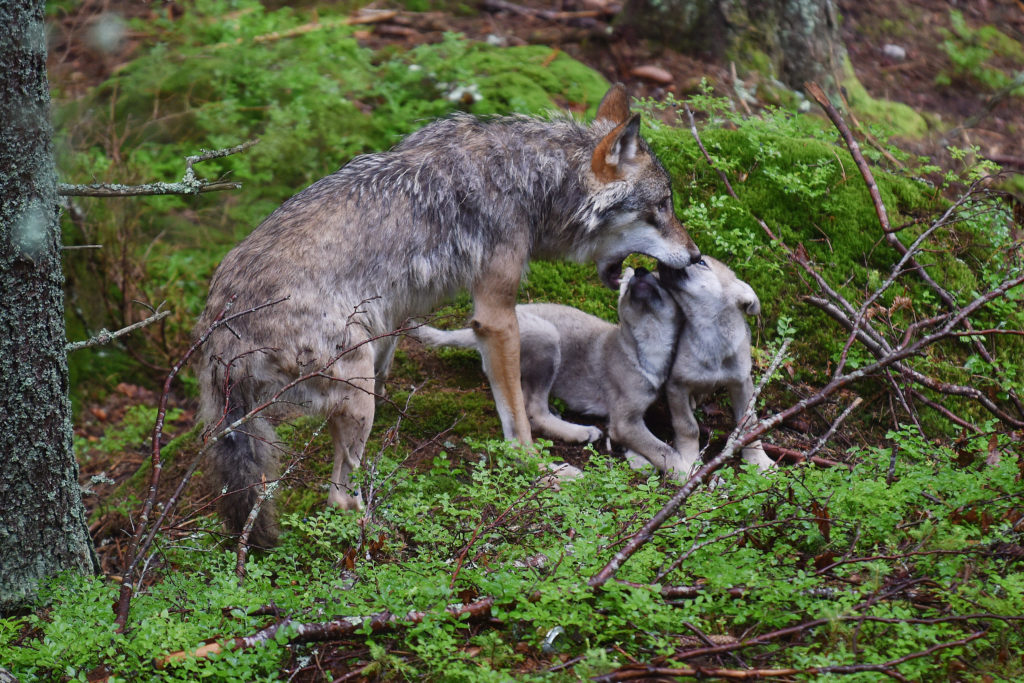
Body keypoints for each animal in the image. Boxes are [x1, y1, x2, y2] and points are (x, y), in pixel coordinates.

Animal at [411, 266, 684, 475]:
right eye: (626, 286)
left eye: (659, 279)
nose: (639, 270)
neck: (646, 345)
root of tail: (473, 332)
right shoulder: (624, 420)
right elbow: (662, 448)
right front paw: (683, 470)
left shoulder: (628, 418)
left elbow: (647, 443)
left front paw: (640, 460)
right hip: (548, 338)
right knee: (534, 410)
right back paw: (578, 431)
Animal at [659, 255, 770, 475]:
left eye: (701, 262)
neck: (711, 337)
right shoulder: (676, 386)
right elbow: (688, 427)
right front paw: (689, 460)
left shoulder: (742, 384)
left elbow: (749, 424)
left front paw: (758, 459)